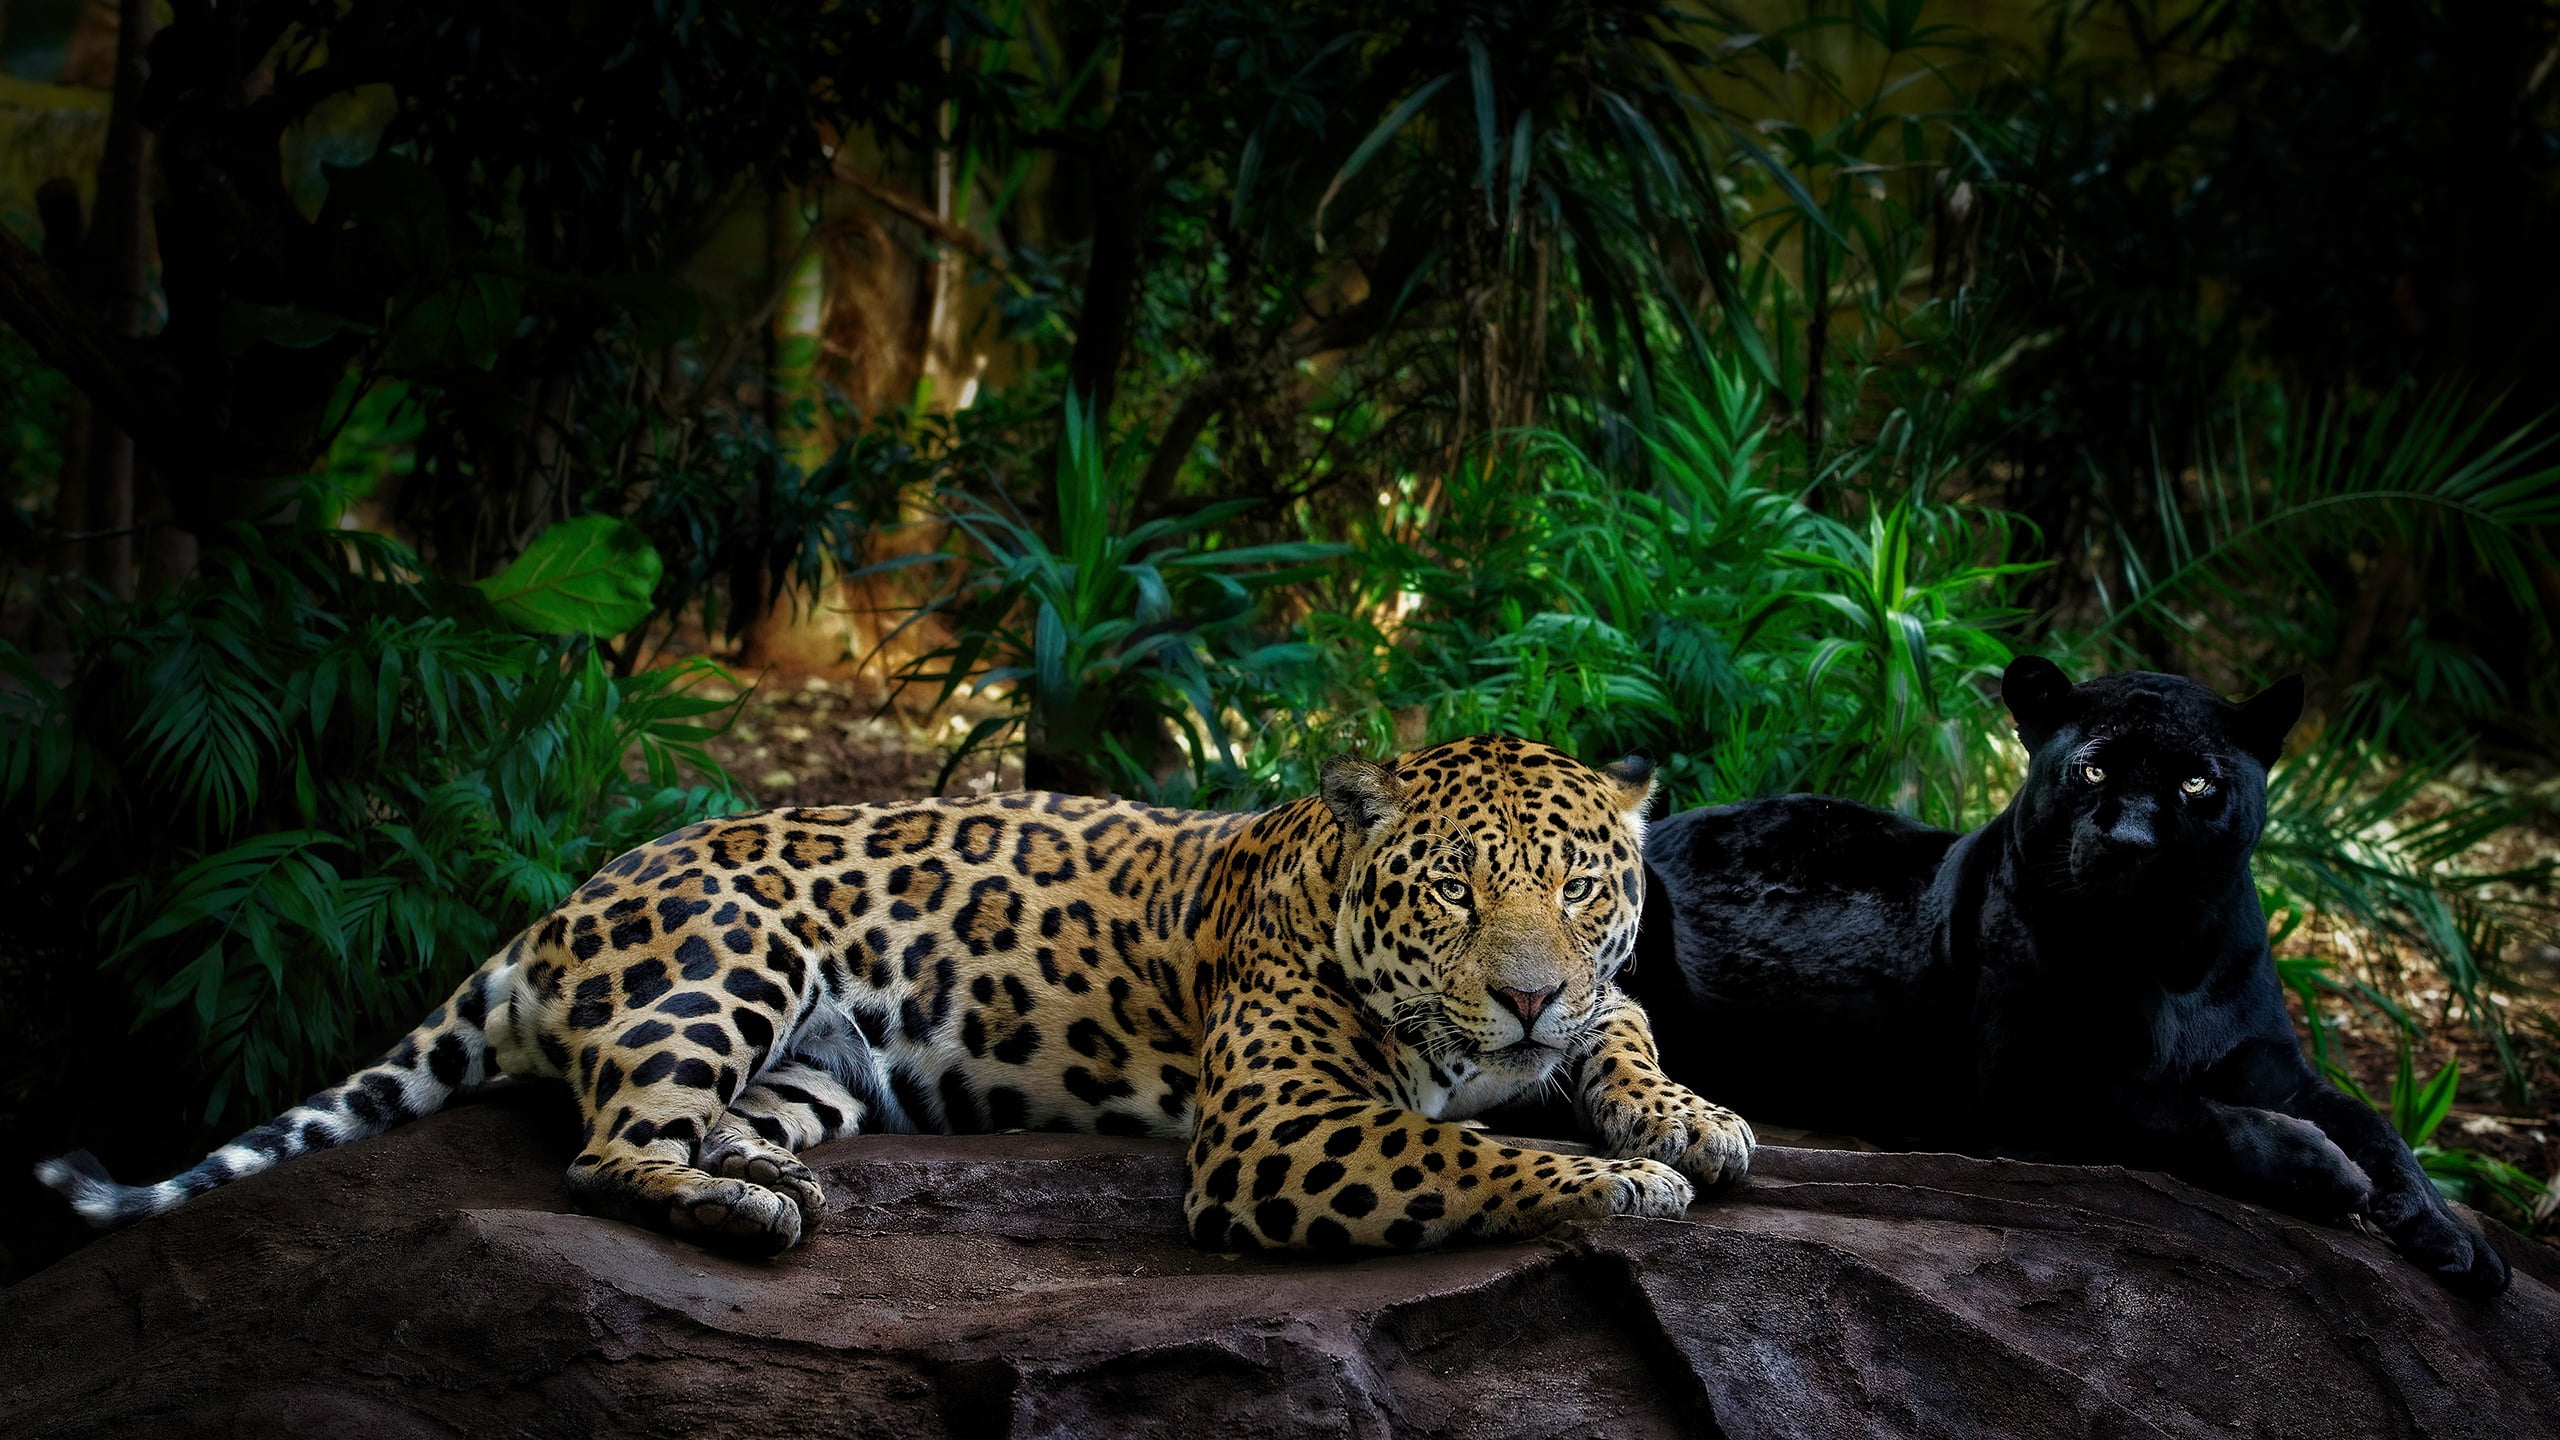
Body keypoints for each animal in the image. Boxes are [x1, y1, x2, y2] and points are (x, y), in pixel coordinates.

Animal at [39, 735, 1753, 1256]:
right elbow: (1464, 1146)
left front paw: (1695, 1121)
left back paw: (764, 1171)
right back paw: (741, 1214)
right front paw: (1620, 1184)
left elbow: (1628, 1032)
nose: (1520, 999)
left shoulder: (1591, 1006)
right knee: (604, 1151)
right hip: (729, 959)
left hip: (821, 1059)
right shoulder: (1274, 1129)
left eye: (1581, 890)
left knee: (711, 1119)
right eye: (1455, 891)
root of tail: (552, 909)